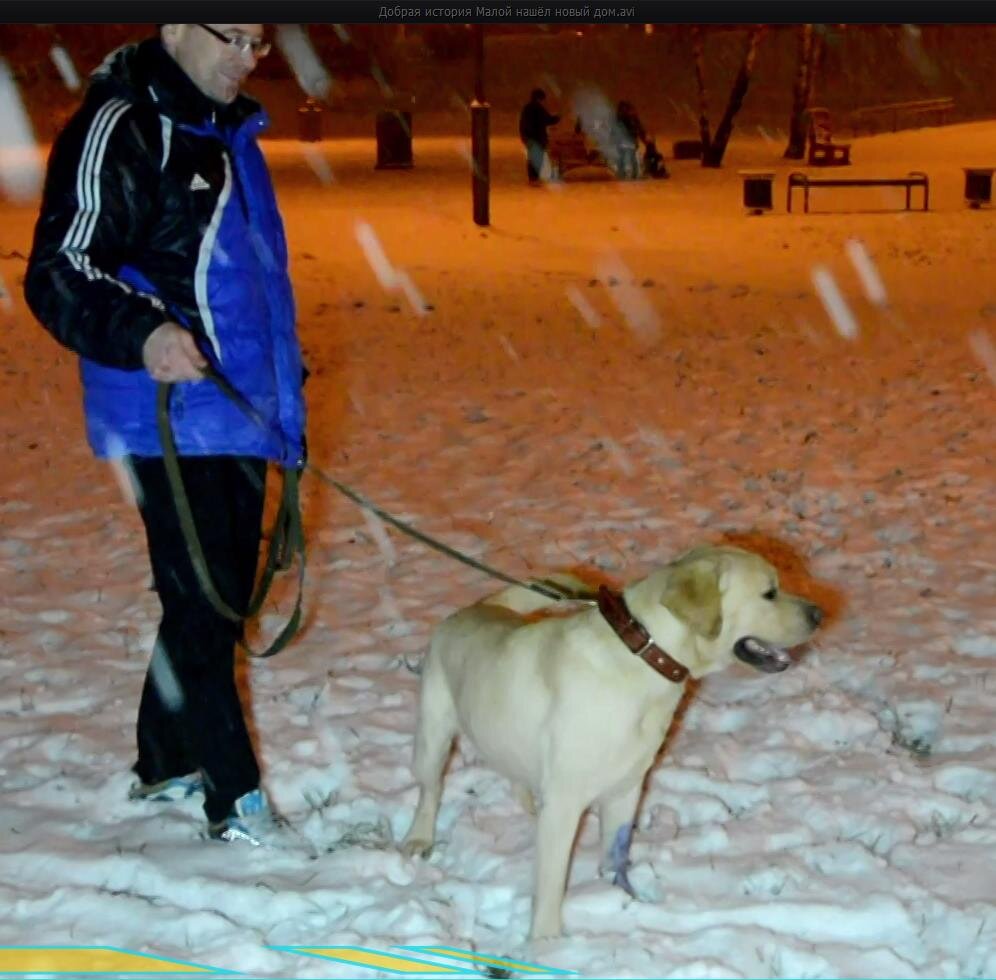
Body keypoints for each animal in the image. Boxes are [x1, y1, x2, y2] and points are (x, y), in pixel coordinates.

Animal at [400, 548, 820, 936]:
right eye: (769, 593)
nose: (818, 613)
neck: (645, 656)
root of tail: (476, 608)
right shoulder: (566, 801)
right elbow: (551, 883)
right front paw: (547, 943)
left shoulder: (626, 787)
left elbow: (613, 854)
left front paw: (617, 898)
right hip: (433, 737)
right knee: (430, 790)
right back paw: (419, 839)